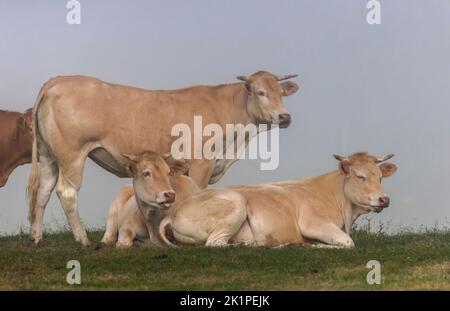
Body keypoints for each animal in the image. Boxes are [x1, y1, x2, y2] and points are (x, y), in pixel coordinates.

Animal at [29, 70, 300, 246]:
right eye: (260, 92)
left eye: (281, 94)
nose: (285, 117)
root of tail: (57, 81)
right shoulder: (201, 162)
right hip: (71, 155)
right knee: (66, 191)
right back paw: (82, 239)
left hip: (47, 155)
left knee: (43, 191)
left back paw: (36, 238)